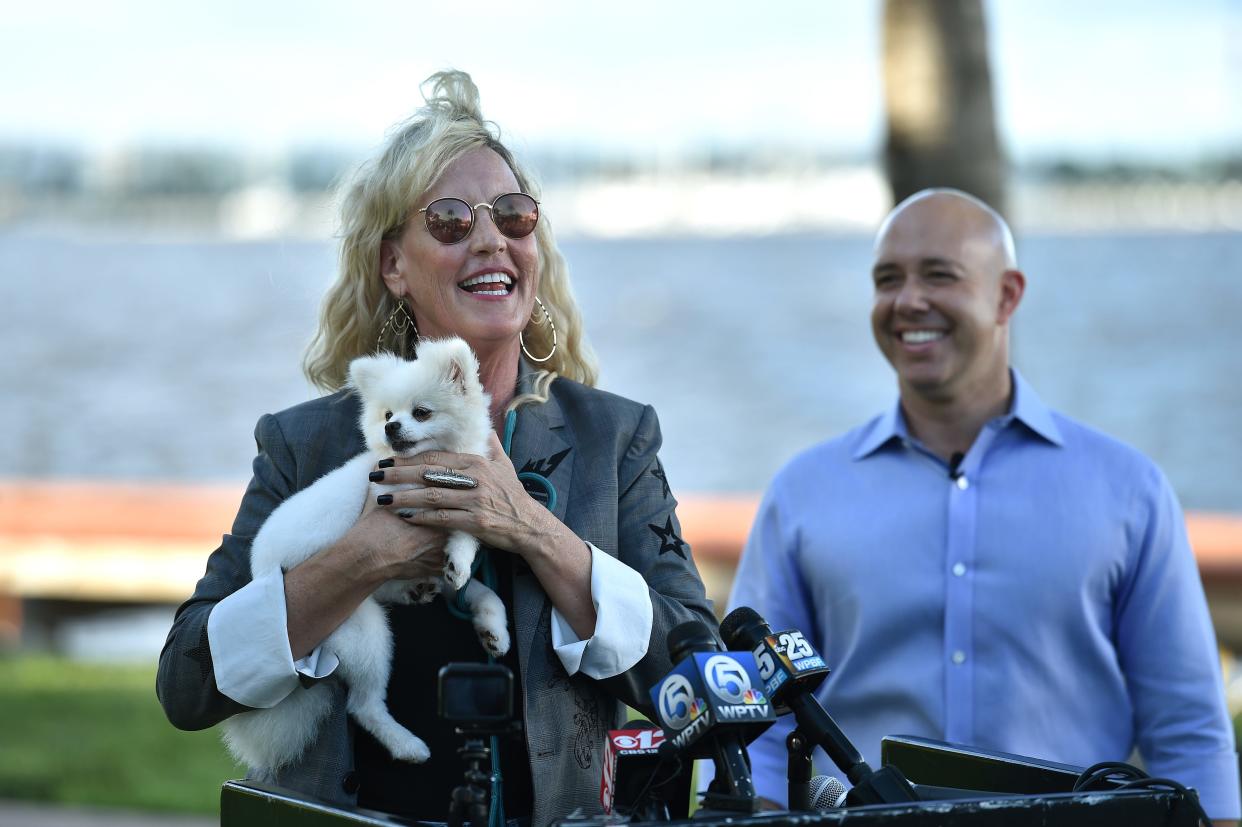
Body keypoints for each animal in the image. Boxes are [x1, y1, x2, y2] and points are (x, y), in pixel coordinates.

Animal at [223, 335, 509, 774]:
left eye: (421, 412)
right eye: (388, 414)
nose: (390, 427)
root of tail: (265, 576)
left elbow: (473, 569)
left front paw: (490, 623)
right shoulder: (403, 507)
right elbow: (457, 533)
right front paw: (460, 560)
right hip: (361, 630)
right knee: (364, 705)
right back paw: (406, 744)